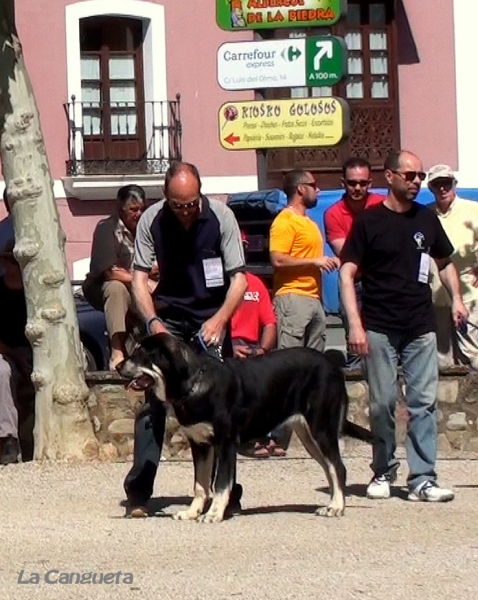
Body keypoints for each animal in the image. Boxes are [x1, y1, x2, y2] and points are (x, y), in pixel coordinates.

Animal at [117, 336, 372, 524]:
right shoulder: (200, 444)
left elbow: (220, 483)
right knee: (331, 469)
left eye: (140, 353)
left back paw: (336, 507)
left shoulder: (226, 442)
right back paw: (332, 503)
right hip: (308, 436)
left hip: (321, 428)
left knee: (338, 467)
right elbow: (200, 485)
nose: (117, 365)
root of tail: (335, 367)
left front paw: (213, 514)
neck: (194, 385)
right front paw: (192, 512)